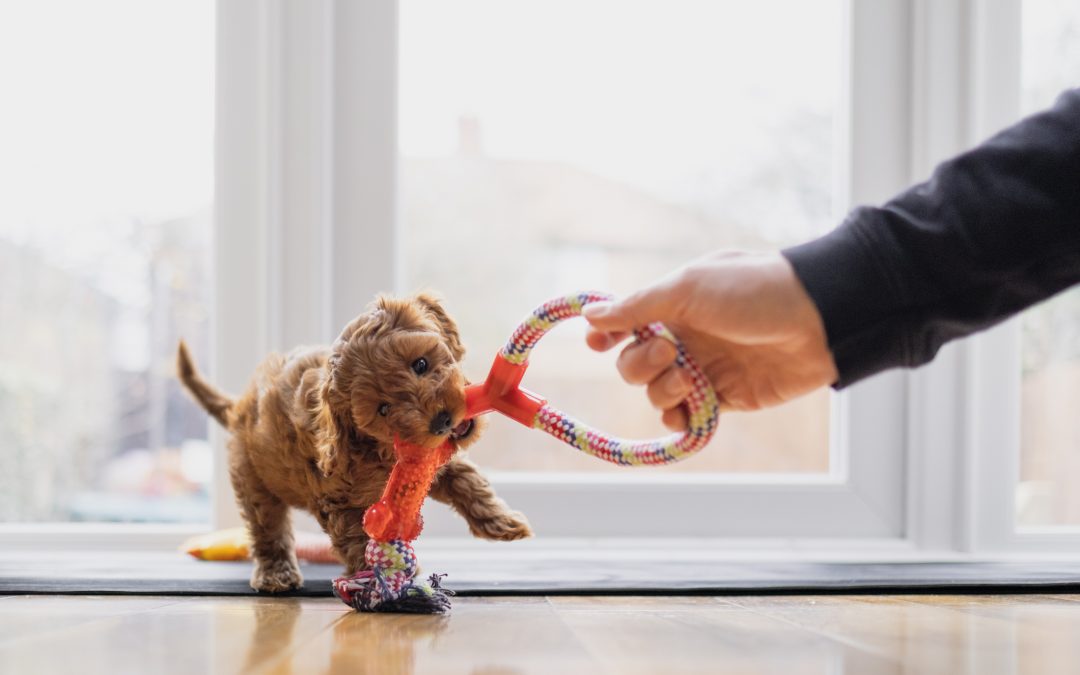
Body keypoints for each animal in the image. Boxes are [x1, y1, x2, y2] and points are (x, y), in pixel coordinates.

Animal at [176, 293, 531, 587]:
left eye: (420, 364)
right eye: (384, 409)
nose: (441, 421)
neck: (380, 447)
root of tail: (240, 407)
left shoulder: (435, 461)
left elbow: (468, 482)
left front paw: (502, 522)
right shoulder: (339, 500)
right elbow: (357, 535)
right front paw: (381, 577)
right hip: (254, 478)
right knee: (267, 528)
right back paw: (276, 573)